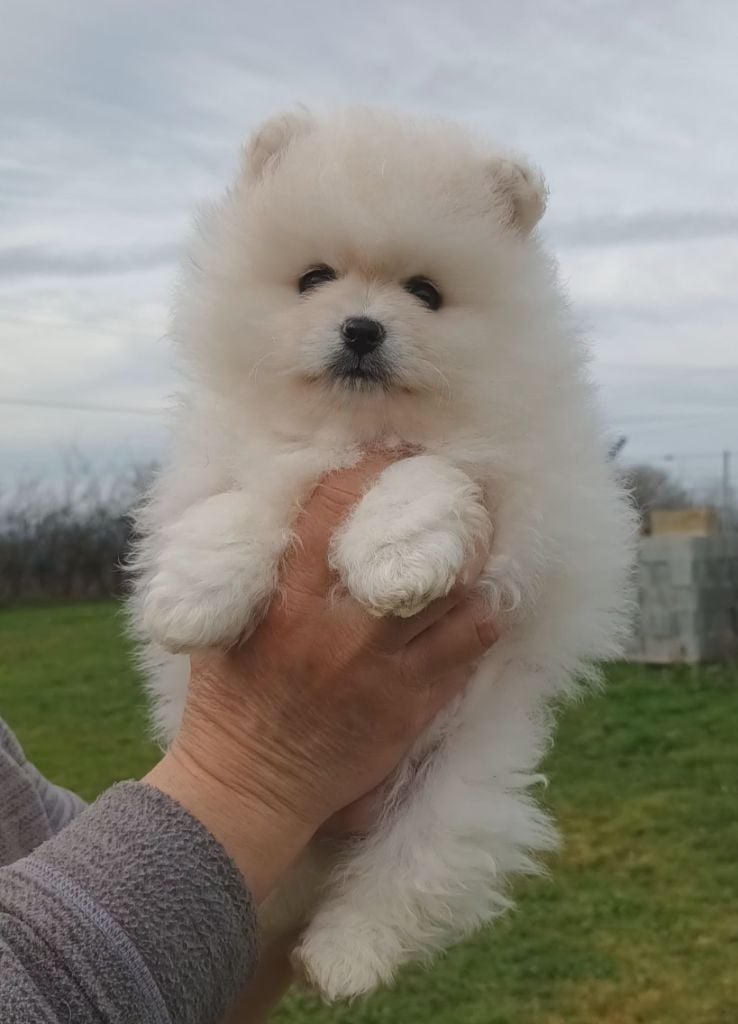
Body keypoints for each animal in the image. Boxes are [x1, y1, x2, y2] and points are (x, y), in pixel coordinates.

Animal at [129, 110, 634, 999]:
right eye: (313, 278)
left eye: (425, 293)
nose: (362, 328)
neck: (355, 427)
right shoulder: (235, 460)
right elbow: (239, 503)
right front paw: (192, 598)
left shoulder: (533, 497)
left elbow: (427, 471)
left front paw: (396, 563)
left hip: (452, 791)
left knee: (405, 880)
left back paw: (343, 958)